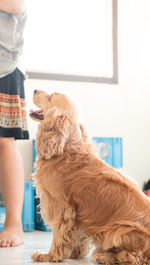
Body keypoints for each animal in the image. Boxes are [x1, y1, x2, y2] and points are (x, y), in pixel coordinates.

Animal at [29, 89, 150, 262]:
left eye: (51, 97)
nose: (34, 90)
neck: (66, 149)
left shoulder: (62, 207)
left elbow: (59, 236)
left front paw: (49, 256)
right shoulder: (79, 214)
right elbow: (77, 236)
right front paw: (75, 253)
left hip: (119, 229)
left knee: (134, 257)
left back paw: (104, 255)